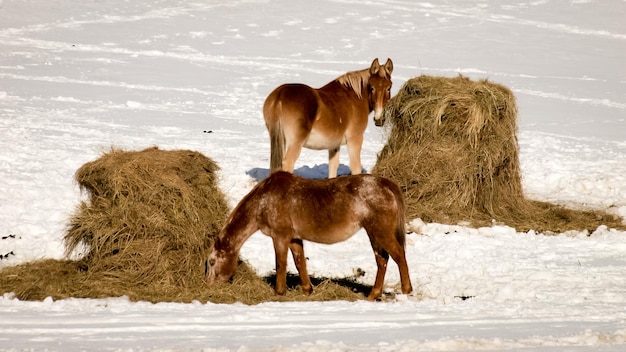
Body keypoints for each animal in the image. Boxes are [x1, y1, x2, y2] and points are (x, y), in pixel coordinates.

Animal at [204, 170, 410, 300]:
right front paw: (307, 290)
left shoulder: (280, 237)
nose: (209, 286)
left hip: (380, 232)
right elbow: (299, 262)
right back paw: (373, 294)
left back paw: (406, 290)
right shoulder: (295, 238)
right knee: (382, 260)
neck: (263, 201)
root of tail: (387, 184)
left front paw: (279, 292)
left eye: (212, 262)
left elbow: (281, 263)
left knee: (399, 256)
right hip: (374, 234)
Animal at [262, 58, 390, 179]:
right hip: (295, 143)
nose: (379, 118)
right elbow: (355, 167)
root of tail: (280, 95)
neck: (354, 97)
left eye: (389, 87)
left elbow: (333, 166)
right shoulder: (355, 139)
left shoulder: (334, 145)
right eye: (371, 87)